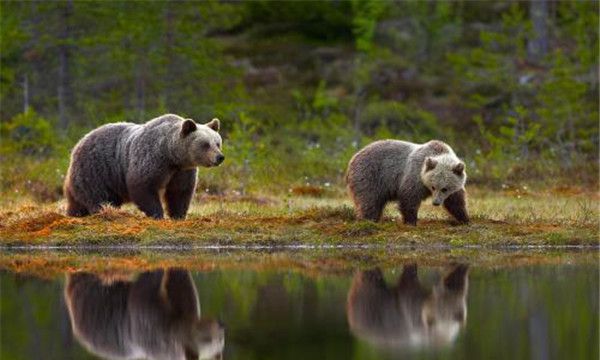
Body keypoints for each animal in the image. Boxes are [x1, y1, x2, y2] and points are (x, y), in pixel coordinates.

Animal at [64, 114, 225, 218]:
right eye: (205, 144)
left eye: (217, 143)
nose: (219, 157)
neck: (171, 155)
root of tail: (78, 144)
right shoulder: (151, 160)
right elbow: (143, 186)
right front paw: (157, 214)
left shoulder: (182, 171)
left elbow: (180, 192)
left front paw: (178, 215)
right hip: (96, 170)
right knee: (97, 195)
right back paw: (100, 211)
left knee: (78, 201)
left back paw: (75, 213)